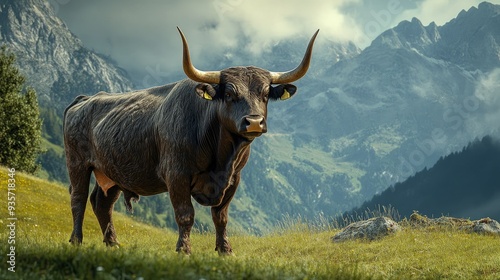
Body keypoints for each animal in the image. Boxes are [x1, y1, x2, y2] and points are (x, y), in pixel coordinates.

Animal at [64, 27, 318, 255]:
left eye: (265, 94)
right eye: (229, 94)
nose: (254, 122)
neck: (221, 158)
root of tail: (86, 98)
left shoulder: (234, 179)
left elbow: (221, 217)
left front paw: (225, 250)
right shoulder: (176, 174)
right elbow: (185, 215)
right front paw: (183, 249)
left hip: (111, 172)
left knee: (102, 204)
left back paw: (113, 243)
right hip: (77, 163)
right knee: (78, 198)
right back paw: (76, 240)